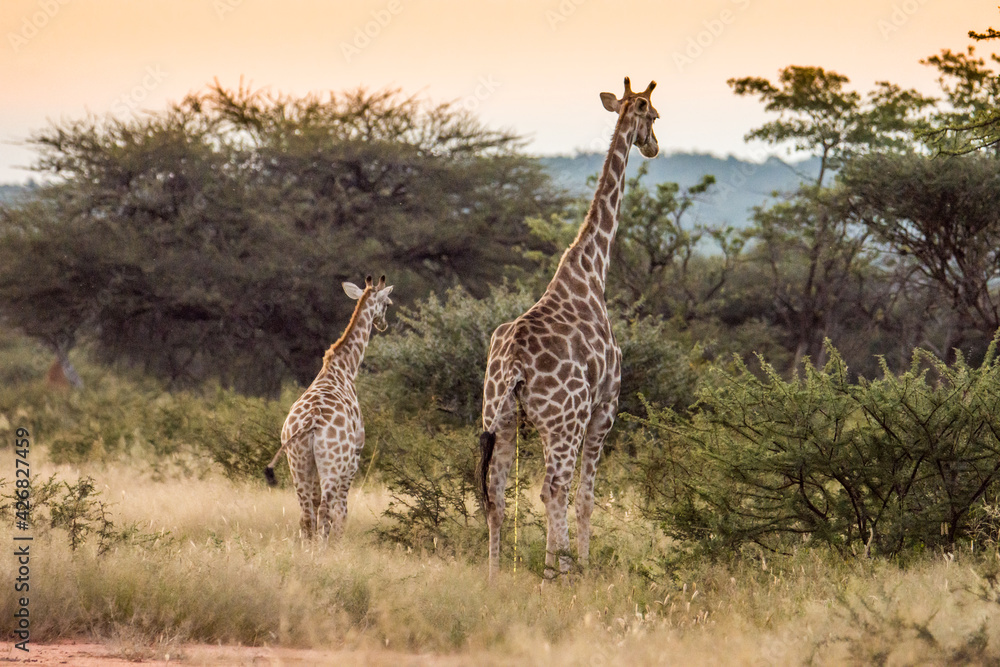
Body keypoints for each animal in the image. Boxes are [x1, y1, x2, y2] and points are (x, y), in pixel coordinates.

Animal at [264, 274, 394, 541]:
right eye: (387, 304)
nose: (383, 325)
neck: (344, 368)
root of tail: (311, 423)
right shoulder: (355, 456)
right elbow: (341, 510)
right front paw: (338, 543)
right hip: (332, 465)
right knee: (325, 509)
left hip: (298, 463)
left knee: (306, 513)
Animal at [477, 78, 659, 580]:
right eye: (654, 114)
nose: (654, 146)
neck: (592, 270)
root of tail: (514, 366)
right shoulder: (605, 409)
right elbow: (586, 498)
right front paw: (582, 567)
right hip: (563, 421)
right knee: (553, 487)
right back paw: (554, 575)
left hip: (499, 418)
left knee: (496, 493)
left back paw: (497, 576)